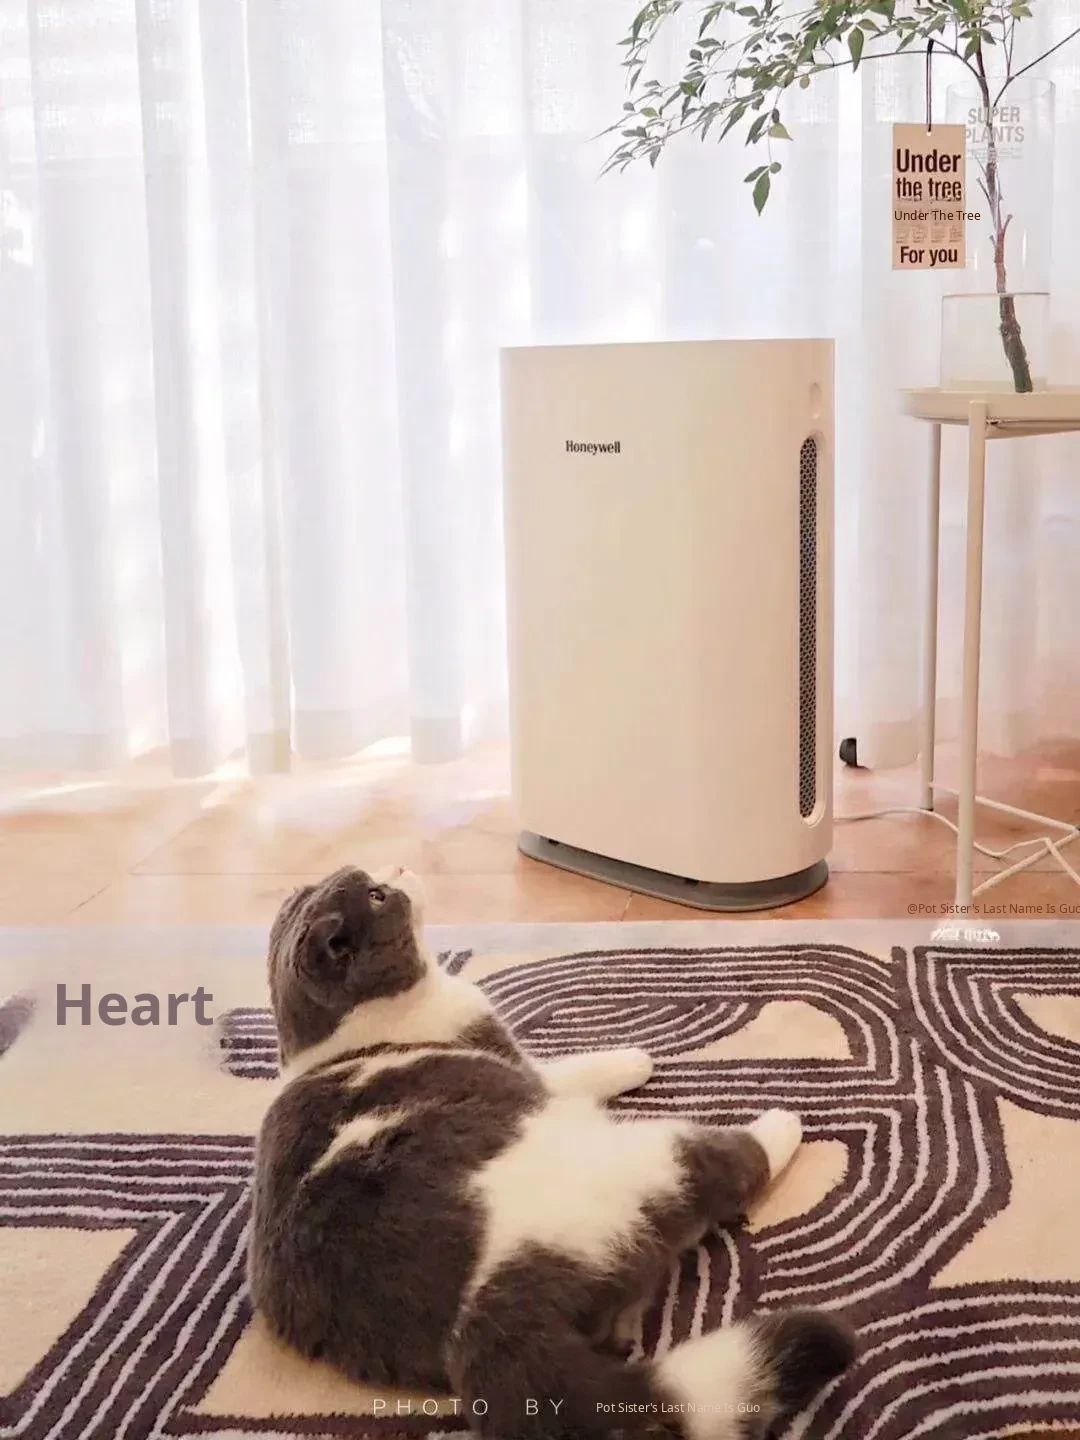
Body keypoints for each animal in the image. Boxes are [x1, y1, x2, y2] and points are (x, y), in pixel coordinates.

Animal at [248, 865, 855, 1440]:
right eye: (375, 897)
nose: (397, 869)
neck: (343, 1037)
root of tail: (486, 1319)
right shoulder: (522, 1069)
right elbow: (577, 1069)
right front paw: (636, 1058)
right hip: (641, 1154)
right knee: (727, 1165)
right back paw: (781, 1123)